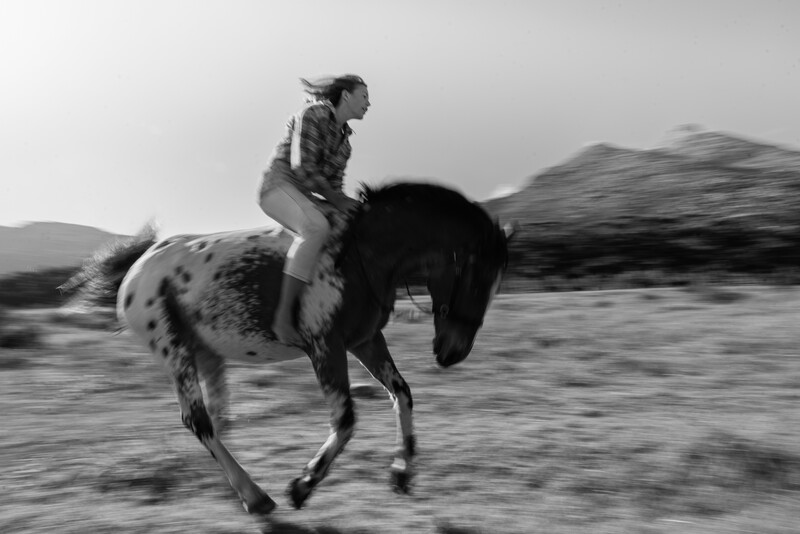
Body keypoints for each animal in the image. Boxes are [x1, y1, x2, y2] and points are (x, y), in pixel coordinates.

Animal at [62, 182, 511, 515]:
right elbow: (346, 420)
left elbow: (401, 394)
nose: (452, 352)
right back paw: (255, 495)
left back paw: (238, 490)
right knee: (199, 421)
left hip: (206, 354)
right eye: (477, 279)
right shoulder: (325, 347)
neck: (364, 255)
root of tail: (139, 262)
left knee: (217, 419)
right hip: (175, 353)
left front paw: (401, 471)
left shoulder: (366, 341)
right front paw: (303, 484)